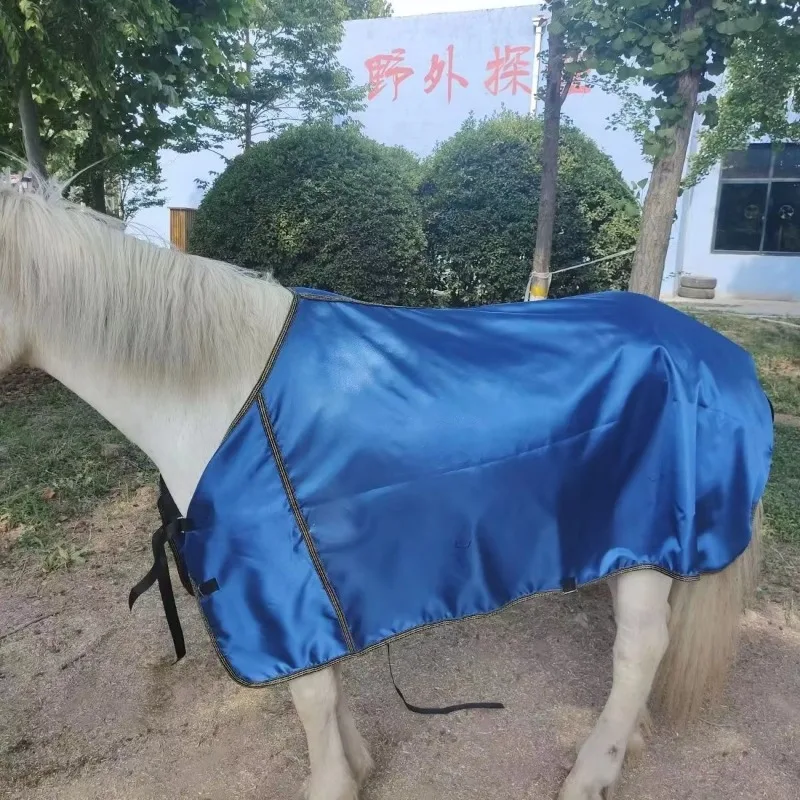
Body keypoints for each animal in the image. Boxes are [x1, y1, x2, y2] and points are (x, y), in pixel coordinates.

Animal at [0, 177, 771, 800]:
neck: (220, 388)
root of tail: (722, 355)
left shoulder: (278, 583)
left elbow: (309, 695)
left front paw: (332, 784)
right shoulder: (309, 589)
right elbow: (327, 683)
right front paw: (356, 765)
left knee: (639, 648)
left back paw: (591, 771)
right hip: (628, 540)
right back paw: (626, 739)